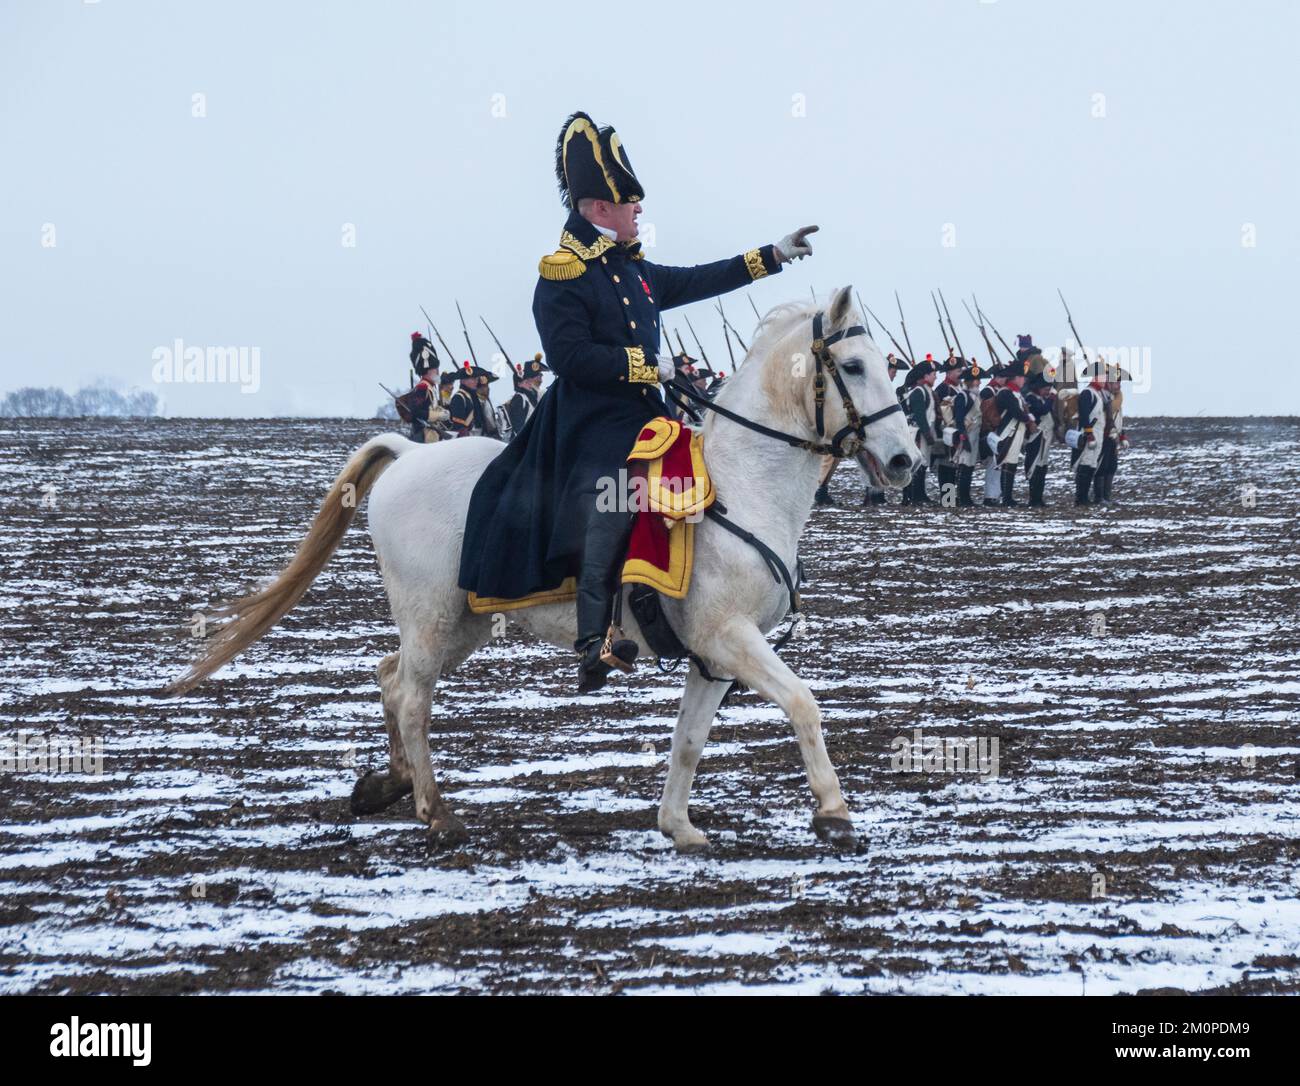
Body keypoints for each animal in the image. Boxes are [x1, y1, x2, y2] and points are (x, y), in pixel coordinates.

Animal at [172, 284, 920, 853]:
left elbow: (688, 740)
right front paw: (833, 813)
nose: (907, 459)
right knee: (412, 698)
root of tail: (409, 454)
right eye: (853, 366)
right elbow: (803, 702)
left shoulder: (711, 655)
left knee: (389, 677)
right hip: (431, 618)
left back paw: (389, 785)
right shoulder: (729, 636)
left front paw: (679, 827)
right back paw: (435, 812)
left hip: (463, 623)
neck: (743, 486)